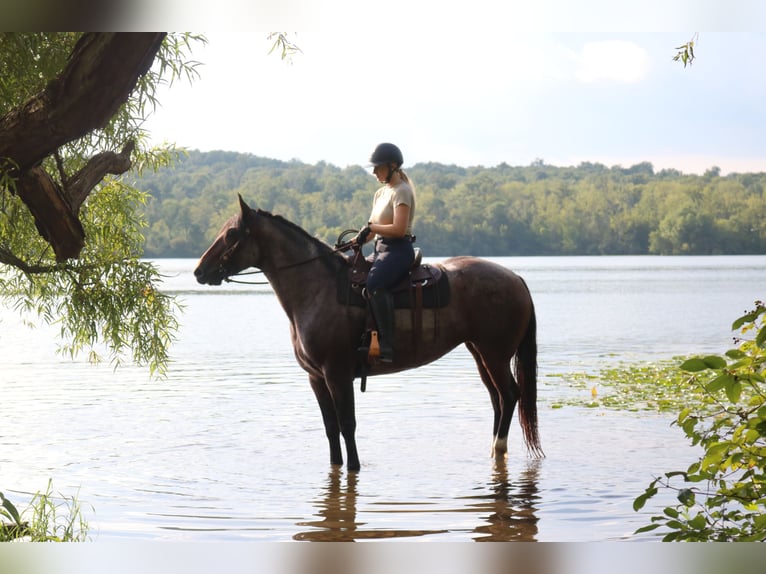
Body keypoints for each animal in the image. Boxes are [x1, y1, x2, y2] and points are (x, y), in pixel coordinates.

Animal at [194, 195, 541, 472]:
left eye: (232, 233)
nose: (199, 271)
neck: (316, 288)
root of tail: (516, 278)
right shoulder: (316, 377)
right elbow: (330, 427)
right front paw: (336, 464)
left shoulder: (337, 373)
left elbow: (347, 425)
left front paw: (354, 468)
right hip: (480, 353)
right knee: (498, 399)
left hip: (495, 355)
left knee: (510, 395)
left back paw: (498, 450)